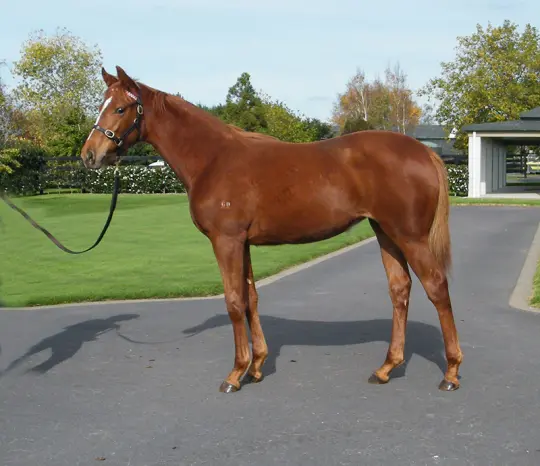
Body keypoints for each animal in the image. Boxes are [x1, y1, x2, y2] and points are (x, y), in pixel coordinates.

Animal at [80, 66, 463, 394]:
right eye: (101, 106)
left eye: (120, 108)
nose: (89, 155)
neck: (213, 159)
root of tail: (424, 153)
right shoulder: (243, 243)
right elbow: (251, 298)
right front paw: (257, 366)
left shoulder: (226, 241)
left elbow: (234, 302)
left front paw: (236, 373)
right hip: (385, 233)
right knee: (400, 290)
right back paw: (386, 368)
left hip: (410, 236)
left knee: (436, 287)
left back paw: (451, 372)